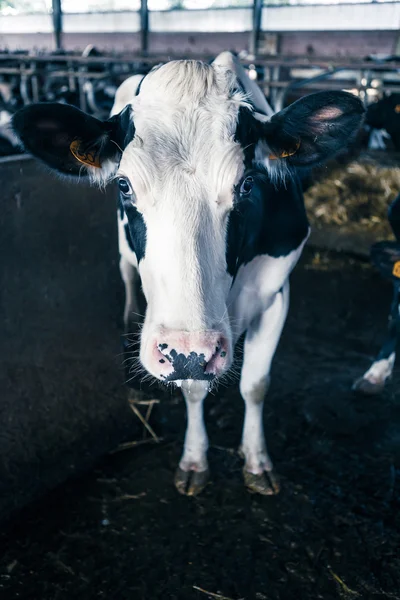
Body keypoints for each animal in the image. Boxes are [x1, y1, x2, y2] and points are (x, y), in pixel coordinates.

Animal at [12, 51, 364, 494]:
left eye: (247, 184)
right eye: (124, 185)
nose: (190, 350)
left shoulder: (276, 292)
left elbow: (256, 385)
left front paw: (257, 460)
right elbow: (194, 389)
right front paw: (195, 459)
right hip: (123, 252)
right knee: (126, 275)